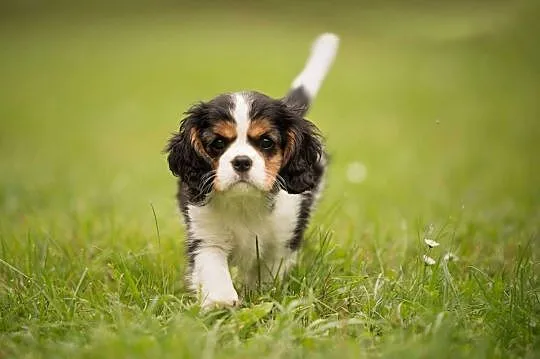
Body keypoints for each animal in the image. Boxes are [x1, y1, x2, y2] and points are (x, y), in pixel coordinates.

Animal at [167, 34, 340, 310]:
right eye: (218, 143)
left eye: (266, 142)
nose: (241, 161)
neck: (244, 202)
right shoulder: (205, 236)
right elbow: (213, 268)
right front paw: (221, 301)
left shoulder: (283, 239)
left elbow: (266, 274)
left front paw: (257, 294)